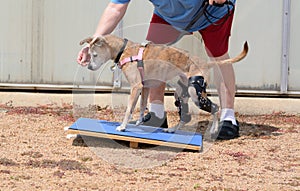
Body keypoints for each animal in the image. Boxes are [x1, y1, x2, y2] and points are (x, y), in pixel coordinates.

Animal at [78, 34, 247, 132]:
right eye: (90, 55)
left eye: (94, 55)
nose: (89, 67)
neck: (125, 50)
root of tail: (205, 62)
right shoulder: (144, 87)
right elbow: (141, 107)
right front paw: (139, 122)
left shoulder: (135, 87)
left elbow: (129, 109)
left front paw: (123, 126)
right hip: (182, 91)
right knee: (185, 115)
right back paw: (173, 130)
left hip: (195, 92)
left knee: (215, 107)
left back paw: (213, 130)